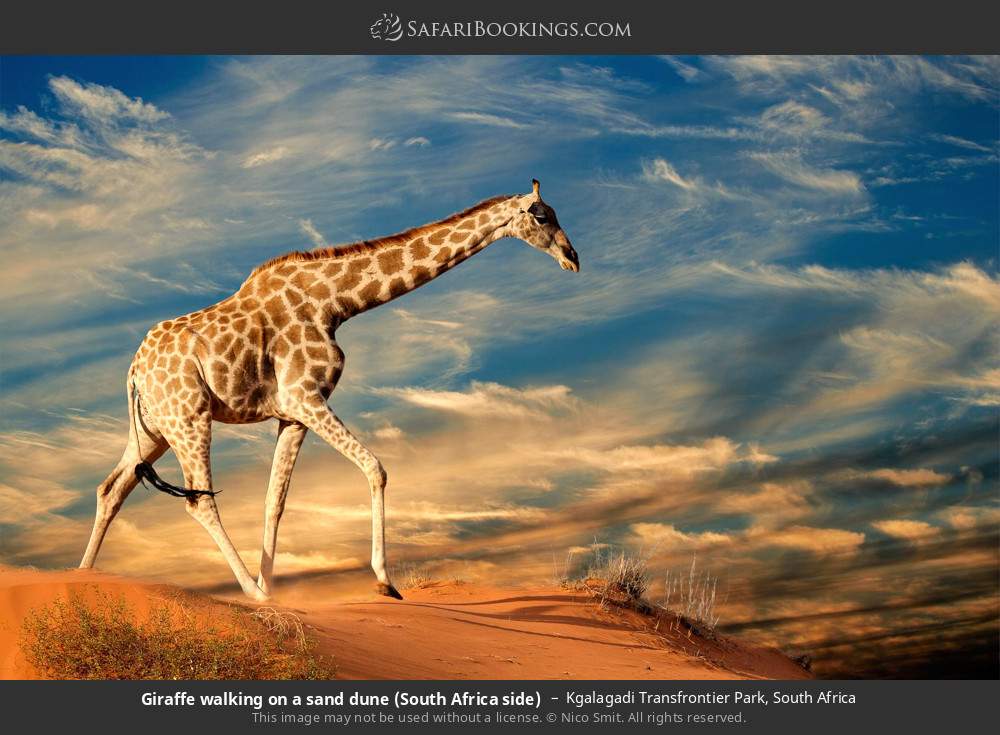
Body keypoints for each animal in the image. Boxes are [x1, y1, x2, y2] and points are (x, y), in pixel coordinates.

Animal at [79, 179, 579, 601]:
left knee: (111, 489)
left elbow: (275, 502)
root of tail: (133, 371)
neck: (336, 303)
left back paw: (83, 576)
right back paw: (251, 595)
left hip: (154, 428)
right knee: (199, 500)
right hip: (189, 417)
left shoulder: (291, 415)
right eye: (541, 215)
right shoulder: (306, 396)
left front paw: (275, 587)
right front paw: (383, 583)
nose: (573, 257)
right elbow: (376, 468)